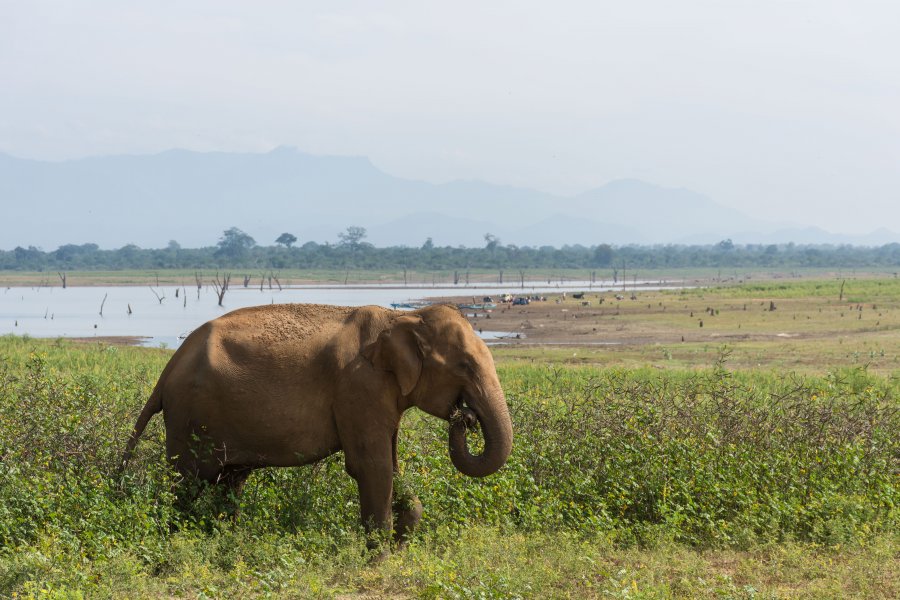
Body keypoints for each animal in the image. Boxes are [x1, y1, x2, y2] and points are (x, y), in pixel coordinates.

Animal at [120, 304, 512, 552]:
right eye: (464, 366)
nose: (466, 417)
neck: (402, 317)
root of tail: (167, 371)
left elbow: (391, 465)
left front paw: (401, 548)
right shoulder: (358, 387)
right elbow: (371, 467)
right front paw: (380, 559)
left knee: (229, 481)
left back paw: (222, 538)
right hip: (190, 418)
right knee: (188, 482)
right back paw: (180, 539)